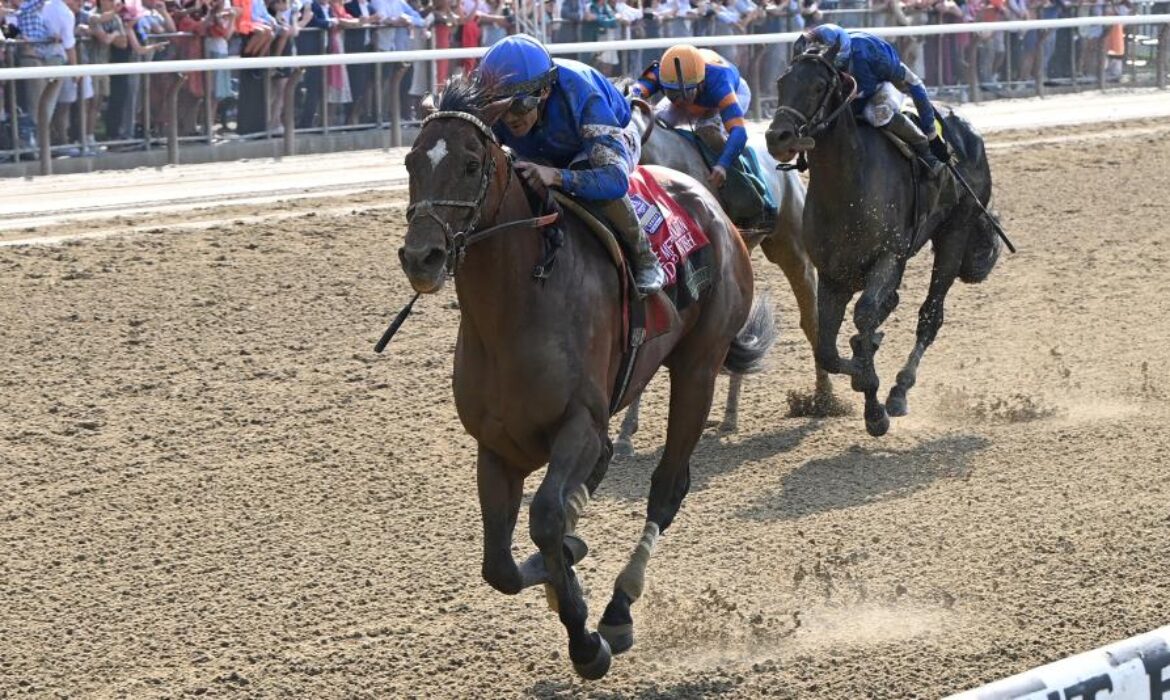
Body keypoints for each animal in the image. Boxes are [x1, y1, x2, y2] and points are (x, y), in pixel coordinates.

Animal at [400, 79, 776, 683]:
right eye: (412, 161)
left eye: (470, 163)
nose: (421, 257)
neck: (518, 306)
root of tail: (710, 201)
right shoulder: (497, 446)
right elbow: (501, 565)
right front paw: (562, 568)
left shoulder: (578, 422)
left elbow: (548, 517)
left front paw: (586, 640)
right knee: (595, 475)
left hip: (698, 366)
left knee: (667, 488)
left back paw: (619, 610)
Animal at [762, 46, 1001, 435]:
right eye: (781, 82)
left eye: (817, 86)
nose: (777, 137)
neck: (847, 188)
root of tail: (967, 127)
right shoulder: (833, 276)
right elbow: (828, 350)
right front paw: (863, 373)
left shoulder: (888, 258)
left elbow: (864, 315)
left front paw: (873, 400)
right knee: (889, 307)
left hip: (954, 232)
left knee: (930, 316)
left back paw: (899, 390)